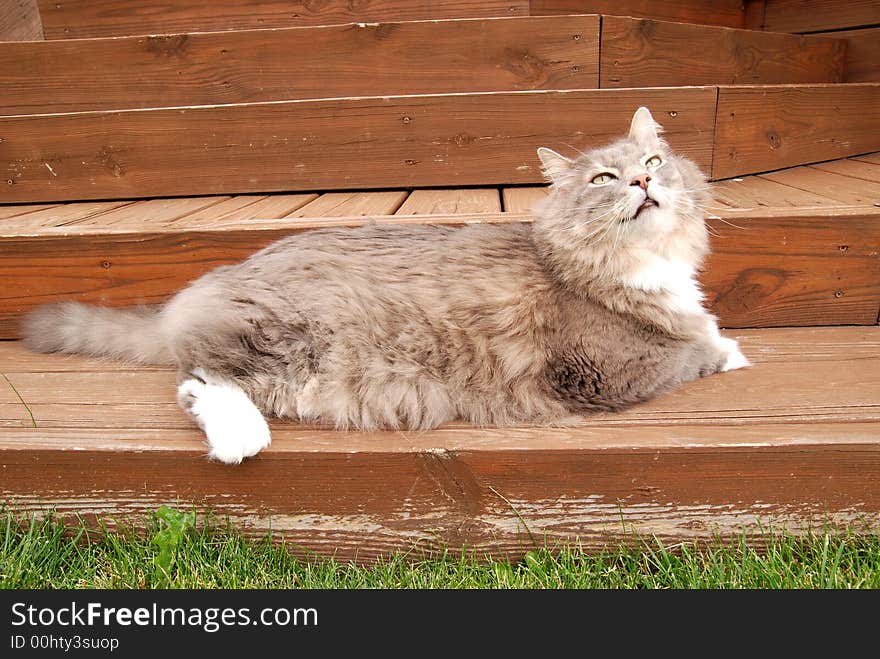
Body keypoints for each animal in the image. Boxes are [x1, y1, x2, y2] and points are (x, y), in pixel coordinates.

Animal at [20, 107, 748, 464]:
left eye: (653, 161)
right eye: (603, 179)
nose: (643, 181)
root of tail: (214, 283)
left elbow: (703, 328)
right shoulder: (609, 369)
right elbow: (697, 349)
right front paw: (731, 351)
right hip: (282, 338)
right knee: (199, 380)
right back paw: (240, 441)